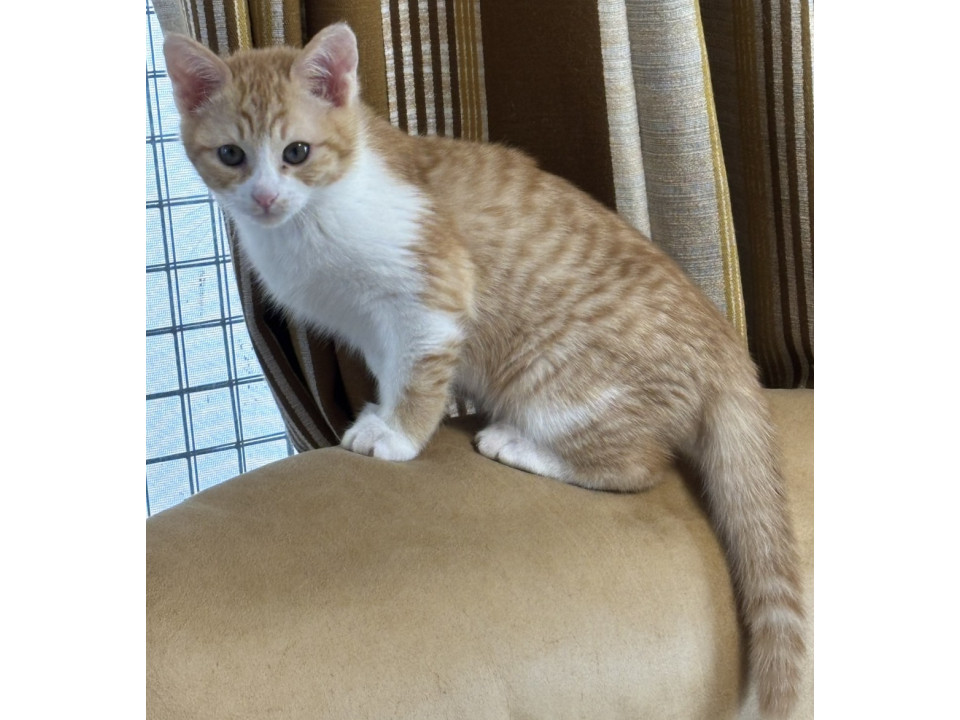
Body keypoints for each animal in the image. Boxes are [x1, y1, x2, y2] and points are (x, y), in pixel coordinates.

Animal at [164, 23, 805, 717]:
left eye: (297, 151)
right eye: (231, 155)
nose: (263, 196)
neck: (320, 210)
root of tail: (725, 343)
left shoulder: (431, 295)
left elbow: (420, 371)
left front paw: (398, 436)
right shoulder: (375, 326)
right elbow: (393, 369)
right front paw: (382, 413)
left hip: (561, 387)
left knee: (636, 468)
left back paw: (520, 445)